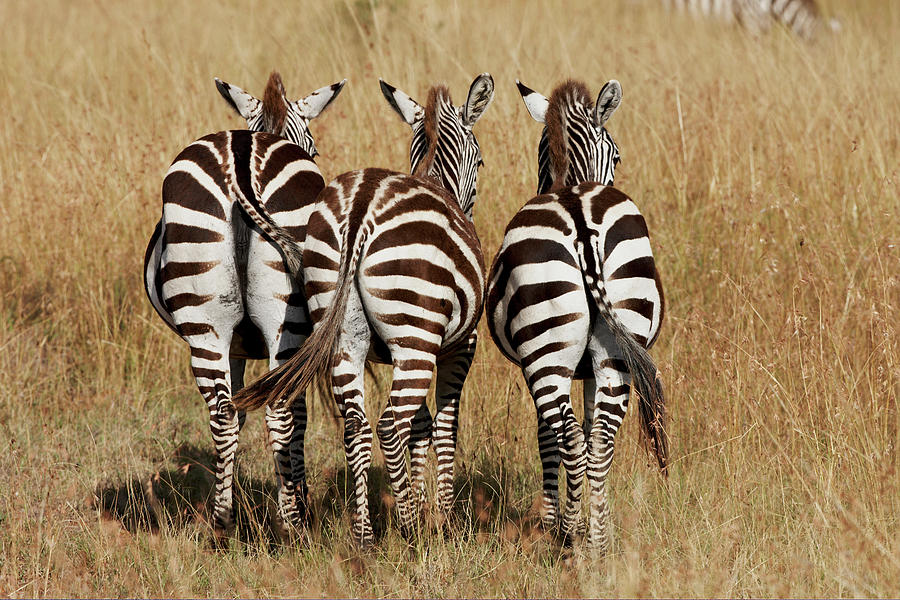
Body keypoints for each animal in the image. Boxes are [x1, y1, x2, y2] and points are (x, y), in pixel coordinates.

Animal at [142, 71, 346, 540]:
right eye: (315, 150)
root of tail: (241, 164)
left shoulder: (233, 345)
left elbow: (235, 413)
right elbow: (297, 416)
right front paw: (298, 499)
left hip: (205, 322)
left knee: (220, 413)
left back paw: (221, 525)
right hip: (285, 321)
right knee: (282, 410)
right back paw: (291, 527)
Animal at [232, 72, 496, 548]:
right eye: (481, 161)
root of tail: (360, 211)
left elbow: (422, 425)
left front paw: (422, 504)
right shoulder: (458, 345)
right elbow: (445, 426)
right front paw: (444, 520)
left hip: (345, 333)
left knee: (356, 425)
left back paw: (365, 535)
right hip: (414, 337)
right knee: (389, 425)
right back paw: (408, 530)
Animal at [486, 79, 668, 552]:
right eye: (618, 155)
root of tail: (581, 219)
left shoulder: (546, 367)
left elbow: (548, 437)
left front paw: (555, 520)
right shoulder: (588, 368)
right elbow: (587, 433)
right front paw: (586, 518)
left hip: (546, 353)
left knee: (567, 437)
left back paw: (568, 536)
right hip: (615, 347)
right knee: (599, 438)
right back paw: (597, 543)